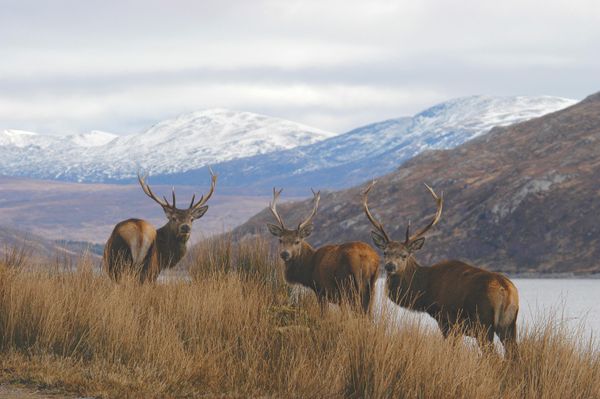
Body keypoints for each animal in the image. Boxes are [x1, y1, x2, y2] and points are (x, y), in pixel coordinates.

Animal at [268, 189, 380, 318]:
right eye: (280, 240)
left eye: (297, 241)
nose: (285, 254)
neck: (308, 271)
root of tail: (367, 258)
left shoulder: (321, 291)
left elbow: (324, 314)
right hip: (372, 286)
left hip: (350, 285)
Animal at [360, 183, 520, 354]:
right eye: (385, 252)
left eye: (404, 255)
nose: (390, 266)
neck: (426, 293)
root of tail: (506, 291)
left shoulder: (447, 321)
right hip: (509, 325)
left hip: (483, 323)